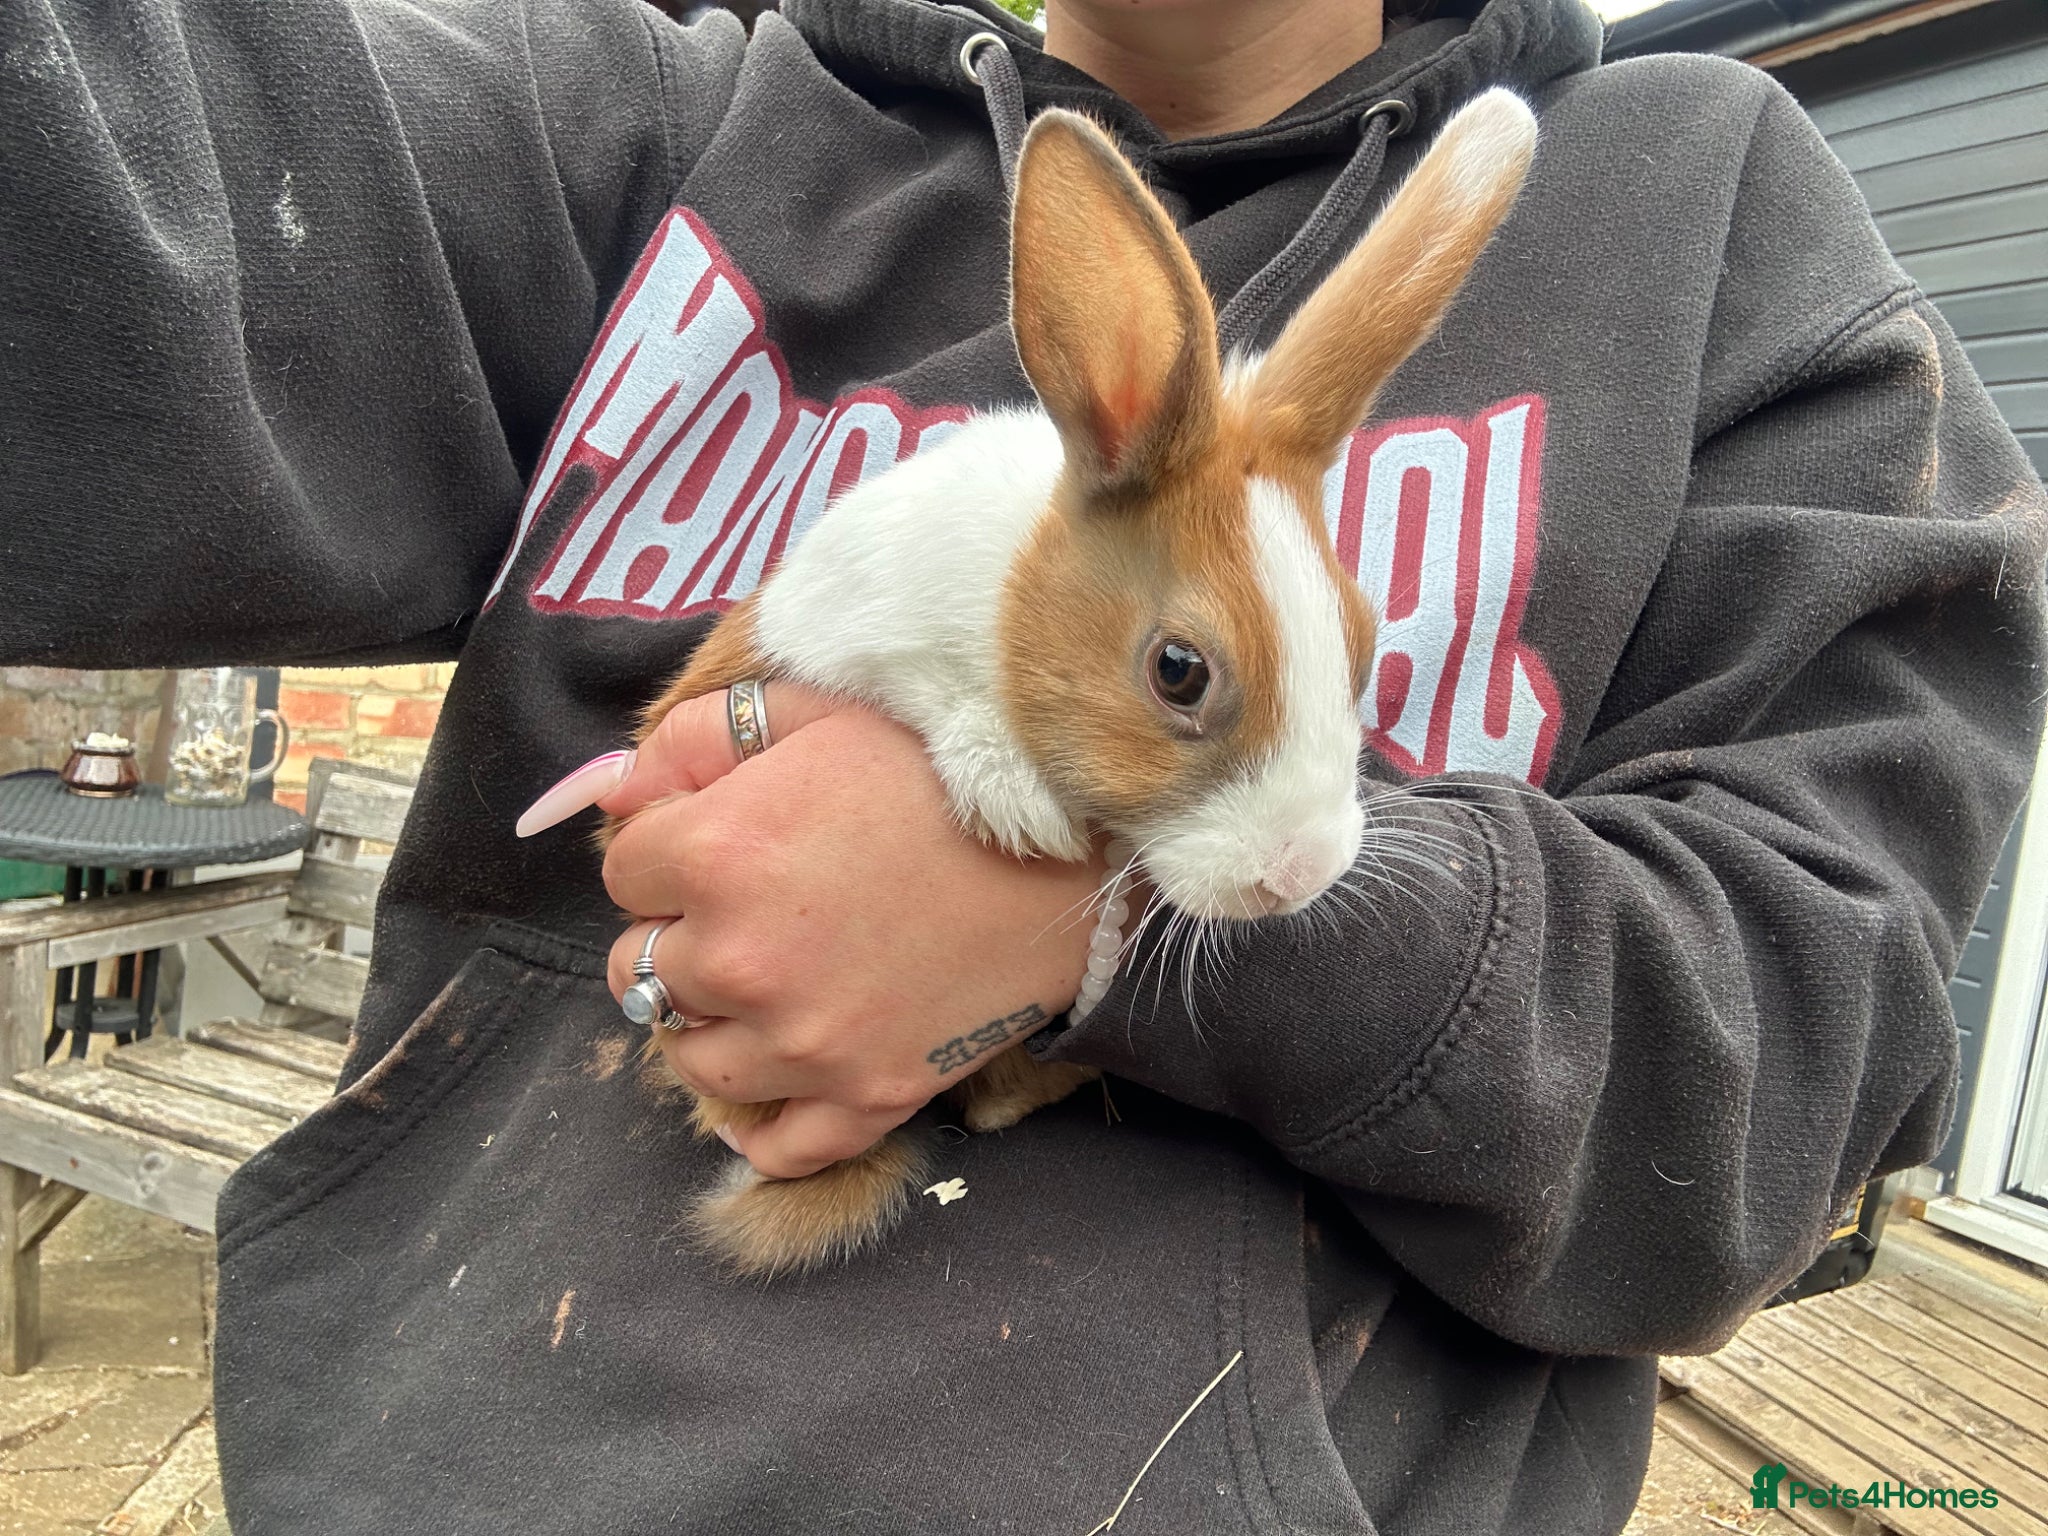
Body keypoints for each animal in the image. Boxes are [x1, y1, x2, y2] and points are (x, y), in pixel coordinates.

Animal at [609, 89, 1539, 1277]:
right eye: (1178, 671)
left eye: (1363, 639)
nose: (1300, 876)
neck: (1012, 606)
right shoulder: (857, 632)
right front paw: (1017, 804)